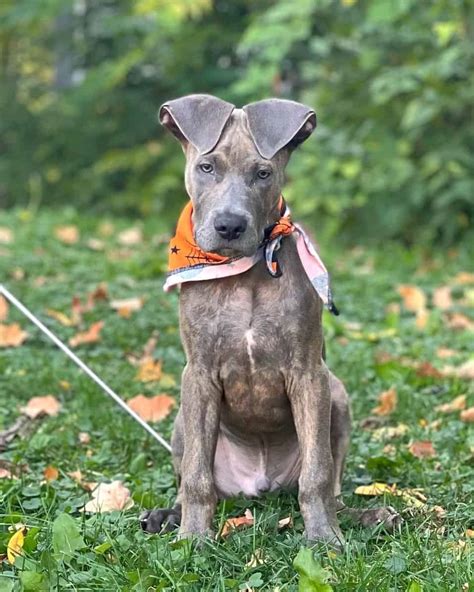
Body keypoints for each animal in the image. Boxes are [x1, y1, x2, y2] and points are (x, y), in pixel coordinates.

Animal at [139, 95, 398, 544]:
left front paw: (324, 538)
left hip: (337, 394)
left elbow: (317, 473)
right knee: (192, 476)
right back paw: (166, 516)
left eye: (263, 173)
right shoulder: (199, 374)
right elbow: (196, 475)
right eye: (206, 167)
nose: (229, 225)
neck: (242, 272)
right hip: (181, 420)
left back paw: (369, 516)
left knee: (332, 487)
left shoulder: (309, 374)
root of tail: (258, 486)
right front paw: (192, 538)